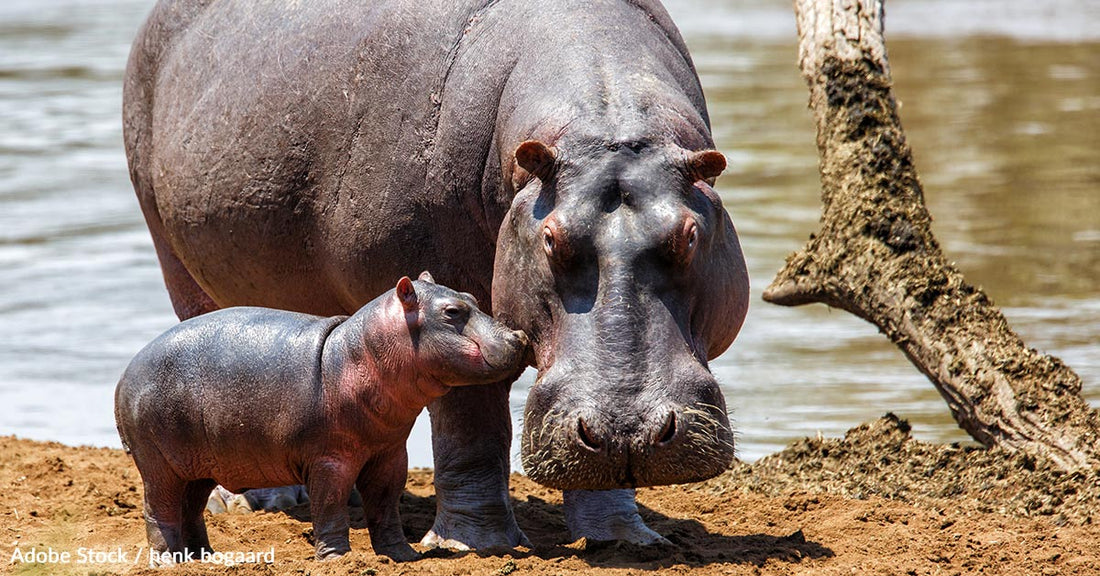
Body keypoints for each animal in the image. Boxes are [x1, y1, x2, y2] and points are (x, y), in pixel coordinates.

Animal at [114, 274, 529, 563]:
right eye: (452, 312)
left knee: (191, 509)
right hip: (159, 465)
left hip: (198, 466)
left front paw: (402, 555)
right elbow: (330, 506)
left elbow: (386, 505)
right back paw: (167, 561)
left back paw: (204, 558)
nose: (519, 336)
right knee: (159, 510)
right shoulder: (330, 459)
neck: (361, 353)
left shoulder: (390, 454)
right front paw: (336, 558)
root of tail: (124, 375)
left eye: (472, 298)